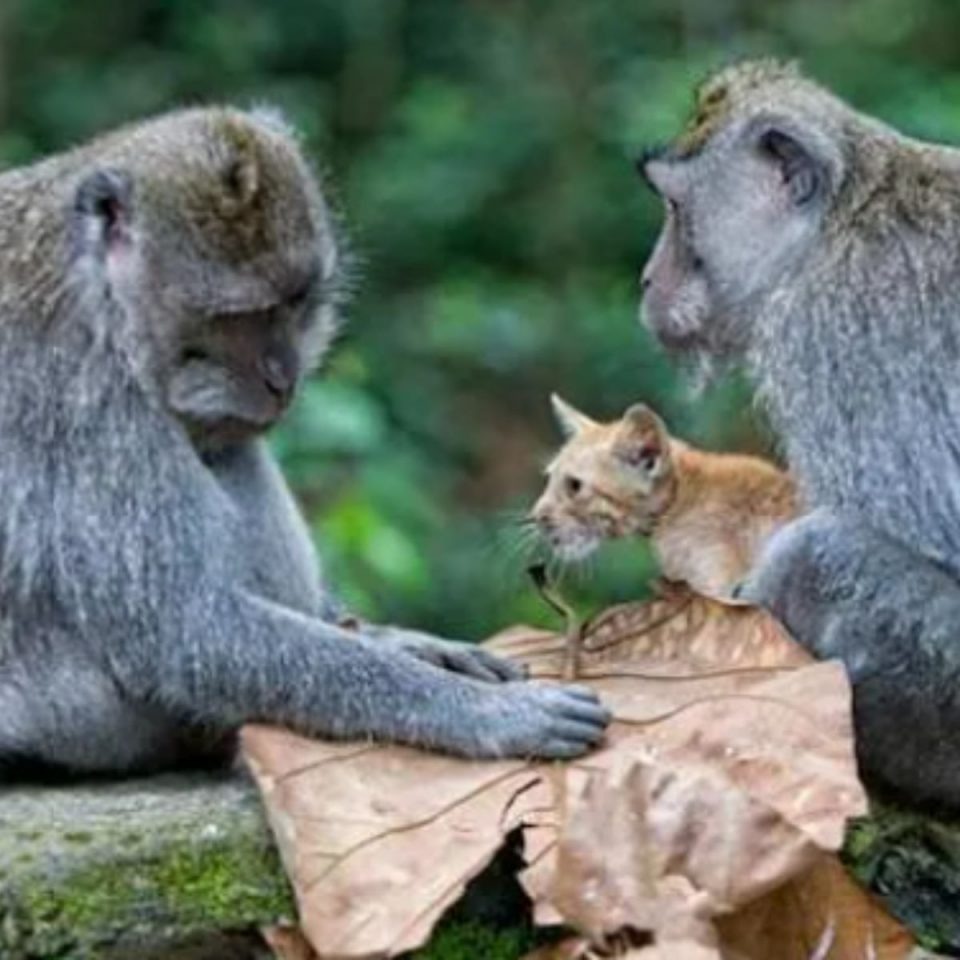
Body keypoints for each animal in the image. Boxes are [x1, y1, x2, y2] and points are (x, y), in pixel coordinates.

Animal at [0, 107, 608, 780]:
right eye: (232, 318)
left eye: (293, 302)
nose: (281, 376)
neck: (99, 294)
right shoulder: (85, 395)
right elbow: (183, 629)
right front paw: (484, 714)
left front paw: (395, 640)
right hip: (77, 714)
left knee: (229, 449)